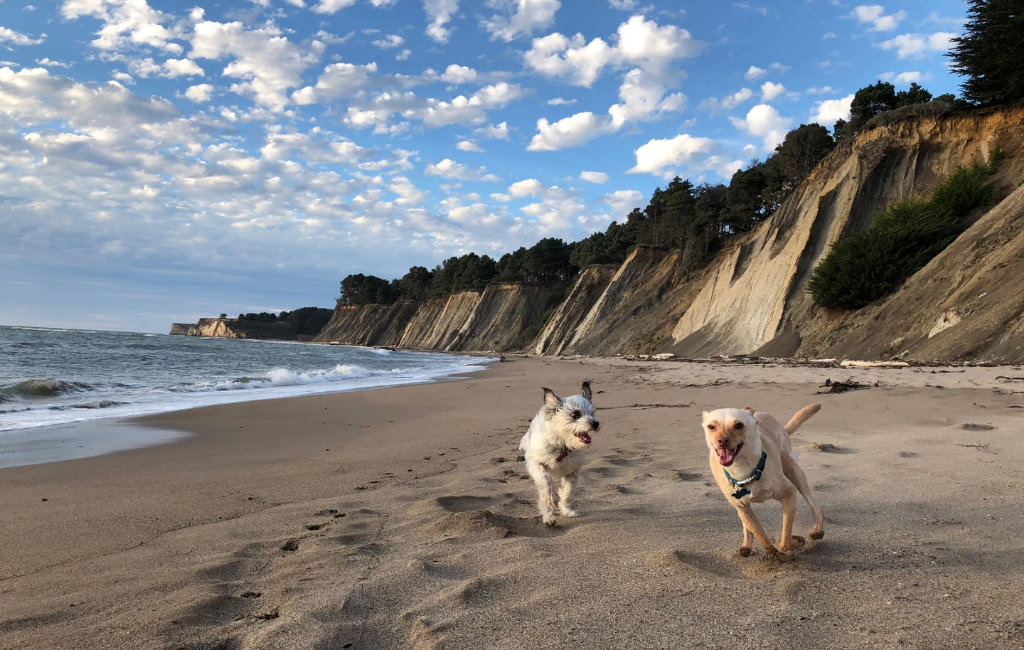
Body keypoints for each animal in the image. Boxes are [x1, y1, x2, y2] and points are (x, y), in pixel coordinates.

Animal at [520, 384, 598, 528]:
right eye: (575, 414)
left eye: (592, 413)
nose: (595, 423)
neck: (562, 447)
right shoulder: (536, 463)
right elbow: (545, 480)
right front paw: (552, 498)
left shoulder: (573, 469)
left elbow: (569, 490)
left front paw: (564, 504)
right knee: (543, 495)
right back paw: (548, 517)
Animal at [704, 401, 823, 560]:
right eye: (711, 426)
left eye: (738, 425)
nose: (722, 440)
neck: (743, 469)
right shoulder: (743, 508)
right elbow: (763, 538)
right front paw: (776, 554)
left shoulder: (789, 494)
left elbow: (785, 540)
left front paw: (795, 543)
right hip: (742, 509)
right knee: (747, 525)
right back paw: (747, 546)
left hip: (794, 470)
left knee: (813, 503)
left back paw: (818, 529)